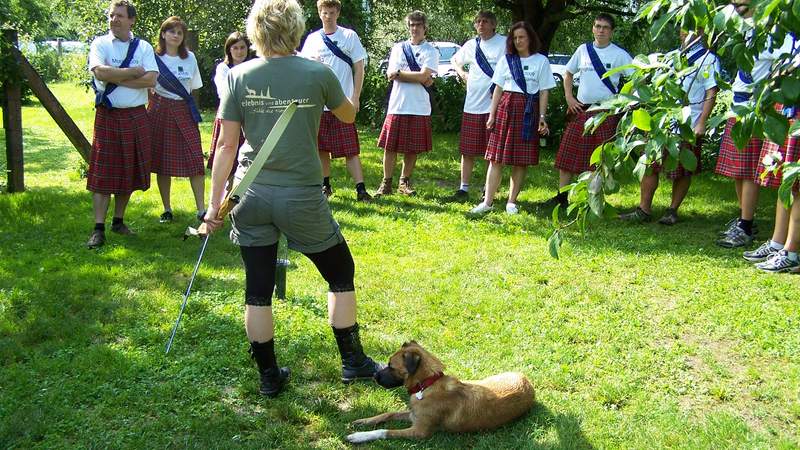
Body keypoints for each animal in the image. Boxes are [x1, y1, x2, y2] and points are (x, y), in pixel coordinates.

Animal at [346, 342, 536, 442]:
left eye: (391, 366)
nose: (373, 376)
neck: (427, 384)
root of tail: (527, 380)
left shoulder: (419, 431)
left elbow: (385, 431)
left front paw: (359, 436)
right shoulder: (413, 415)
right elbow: (388, 413)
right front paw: (365, 421)